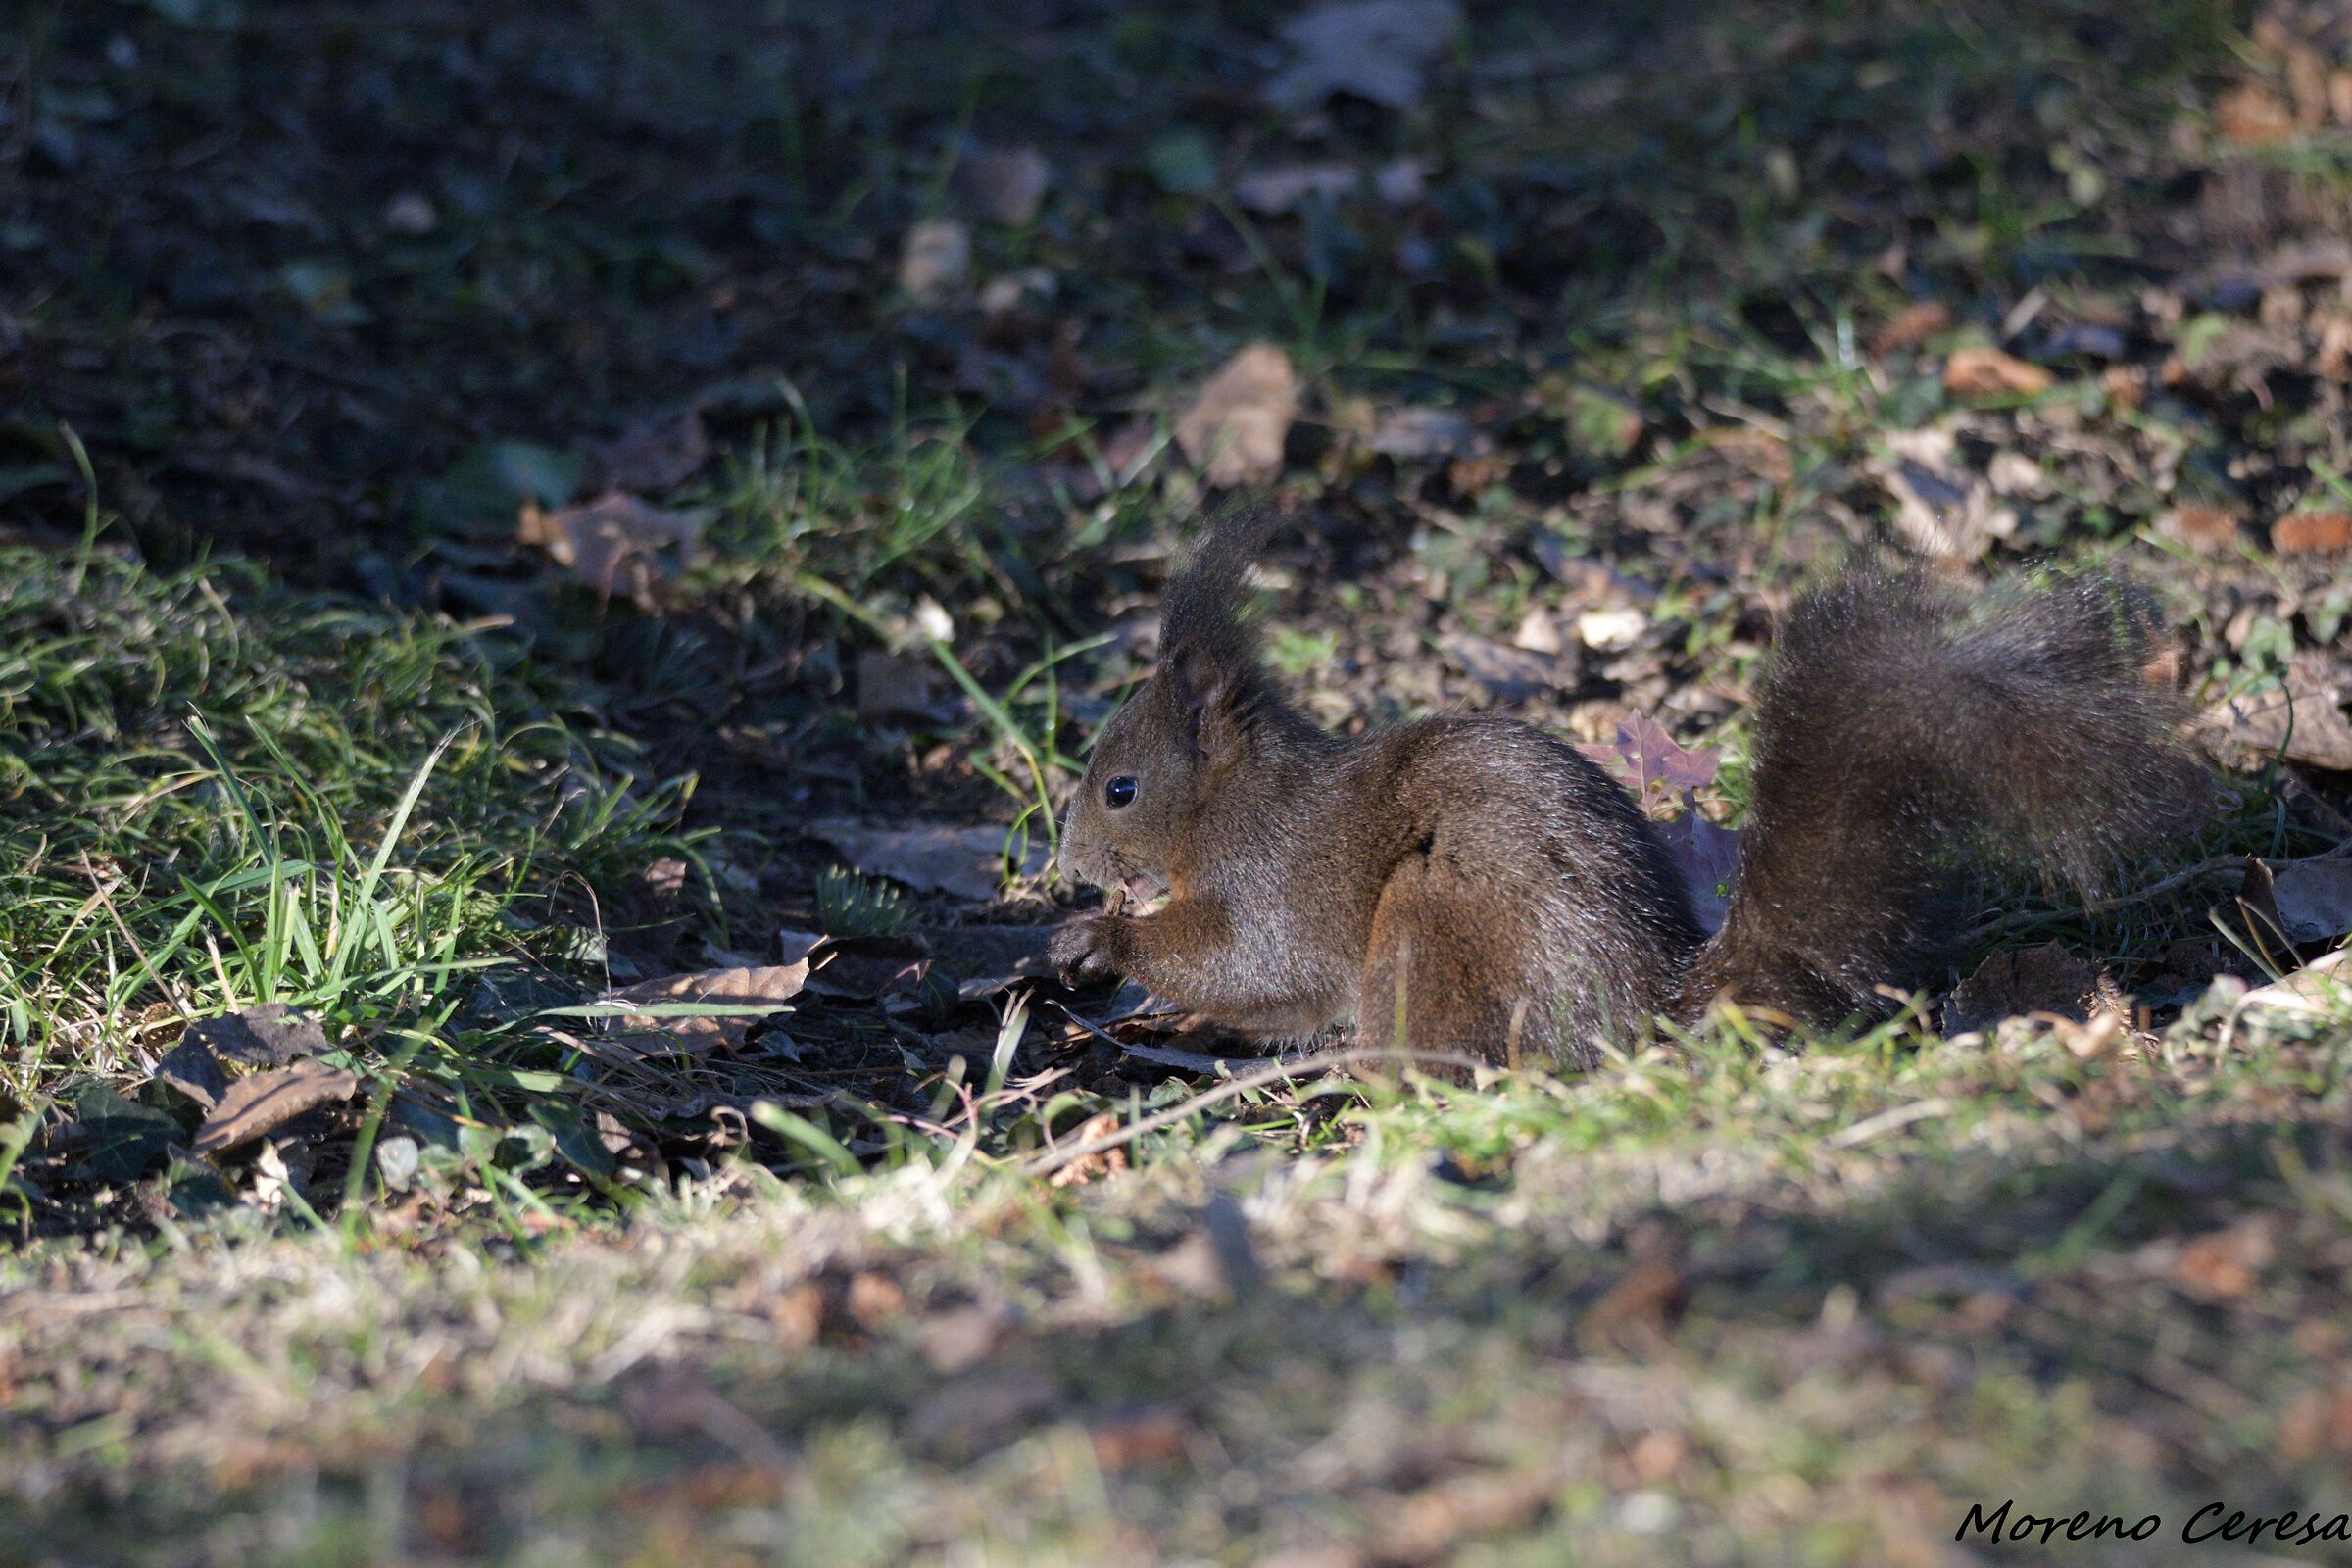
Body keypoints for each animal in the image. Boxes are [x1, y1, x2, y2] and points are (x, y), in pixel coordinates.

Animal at [1048, 511, 2216, 1066]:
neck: (1233, 801)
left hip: (1430, 918)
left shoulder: (1273, 876)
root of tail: (1643, 1008)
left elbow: (1249, 964)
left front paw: (1101, 940)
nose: (1067, 865)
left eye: (1119, 789)